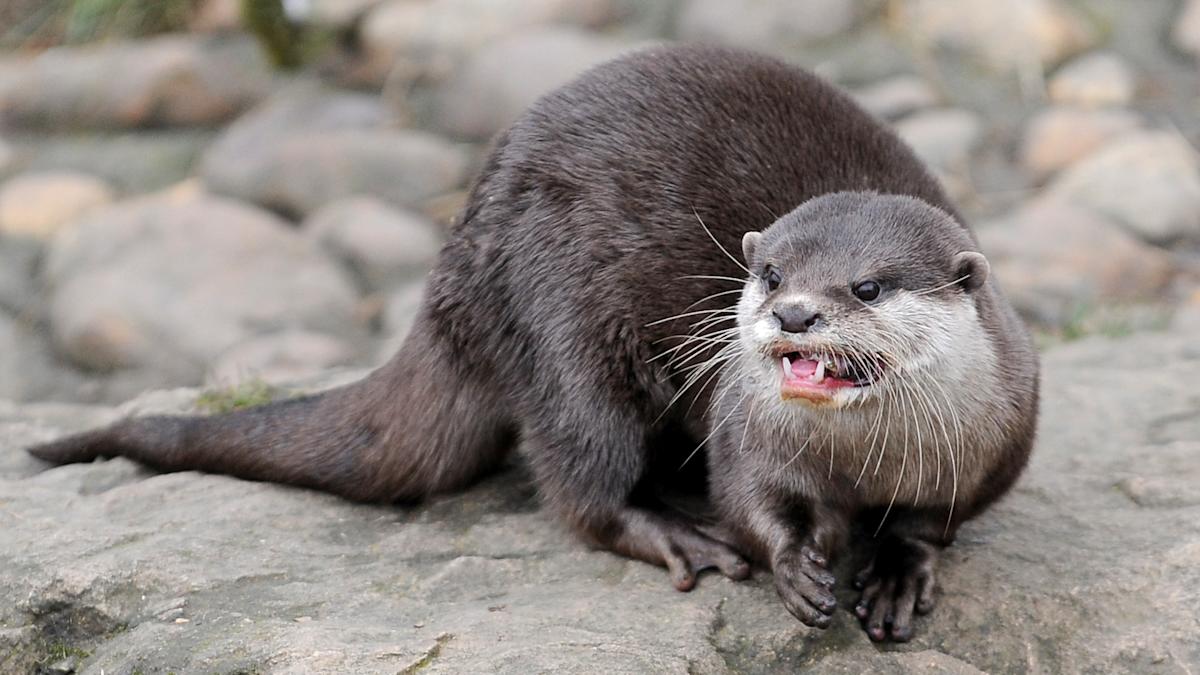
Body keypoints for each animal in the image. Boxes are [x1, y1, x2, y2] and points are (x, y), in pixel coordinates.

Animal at [27, 44, 1038, 642]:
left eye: (866, 286)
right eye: (768, 271)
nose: (791, 316)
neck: (864, 464)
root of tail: (456, 268)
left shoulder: (997, 445)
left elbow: (934, 522)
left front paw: (899, 572)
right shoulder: (743, 427)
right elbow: (749, 495)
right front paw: (794, 562)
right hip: (561, 320)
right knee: (580, 478)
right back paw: (675, 532)